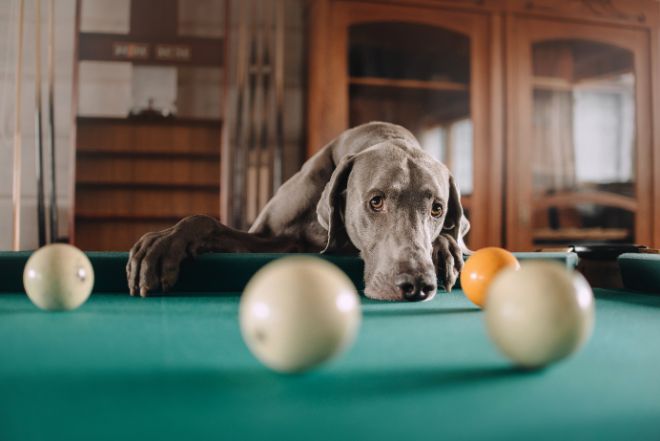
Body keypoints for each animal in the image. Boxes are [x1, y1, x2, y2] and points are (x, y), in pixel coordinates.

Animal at [126, 120, 472, 300]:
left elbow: (452, 238)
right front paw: (165, 243)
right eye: (376, 201)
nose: (418, 285)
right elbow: (205, 221)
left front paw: (445, 248)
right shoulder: (271, 237)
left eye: (437, 209)